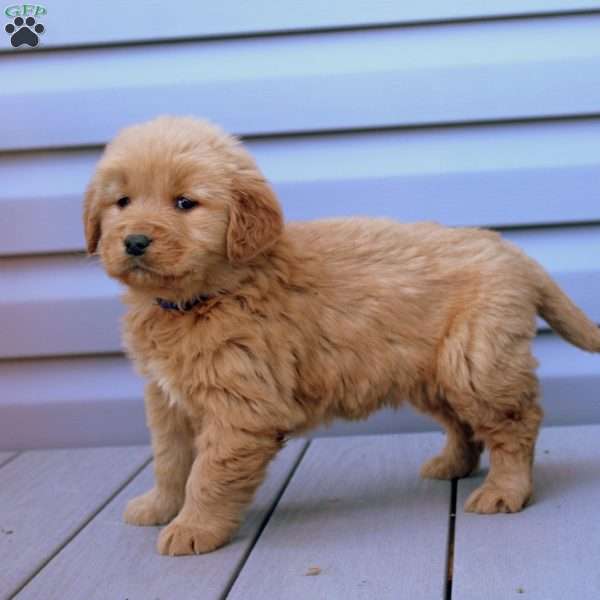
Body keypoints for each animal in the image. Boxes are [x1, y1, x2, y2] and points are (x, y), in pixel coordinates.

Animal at [84, 115, 600, 556]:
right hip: (435, 372)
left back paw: (505, 491)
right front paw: (159, 506)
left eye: (185, 203)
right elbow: (170, 460)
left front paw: (193, 528)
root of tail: (513, 252)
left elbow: (209, 474)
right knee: (463, 424)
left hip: (476, 364)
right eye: (122, 202)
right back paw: (452, 465)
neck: (205, 296)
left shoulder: (241, 409)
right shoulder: (166, 398)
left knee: (517, 425)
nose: (134, 242)